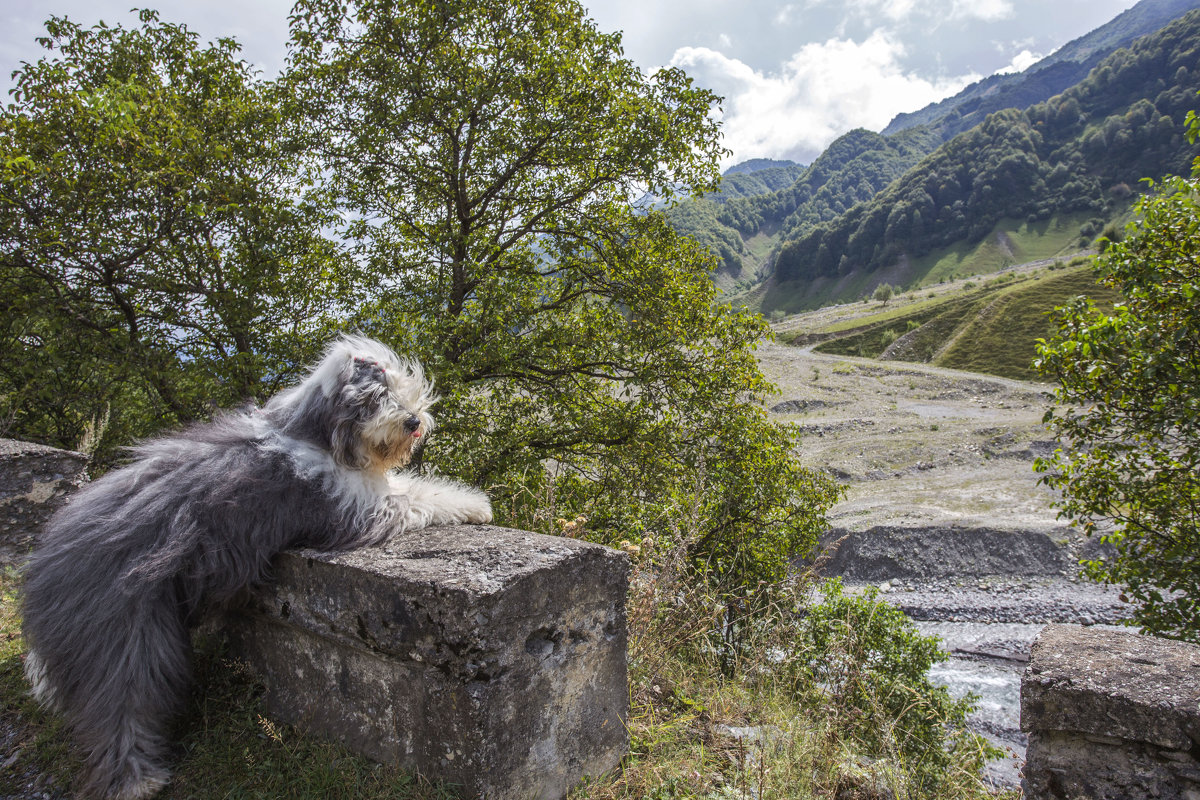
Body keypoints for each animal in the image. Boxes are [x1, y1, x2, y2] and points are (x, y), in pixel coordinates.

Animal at [22, 335, 492, 800]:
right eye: (377, 398)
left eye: (401, 388)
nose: (413, 421)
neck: (318, 437)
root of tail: (49, 559)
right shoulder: (358, 508)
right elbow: (420, 496)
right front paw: (476, 505)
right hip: (126, 632)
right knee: (122, 702)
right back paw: (137, 781)